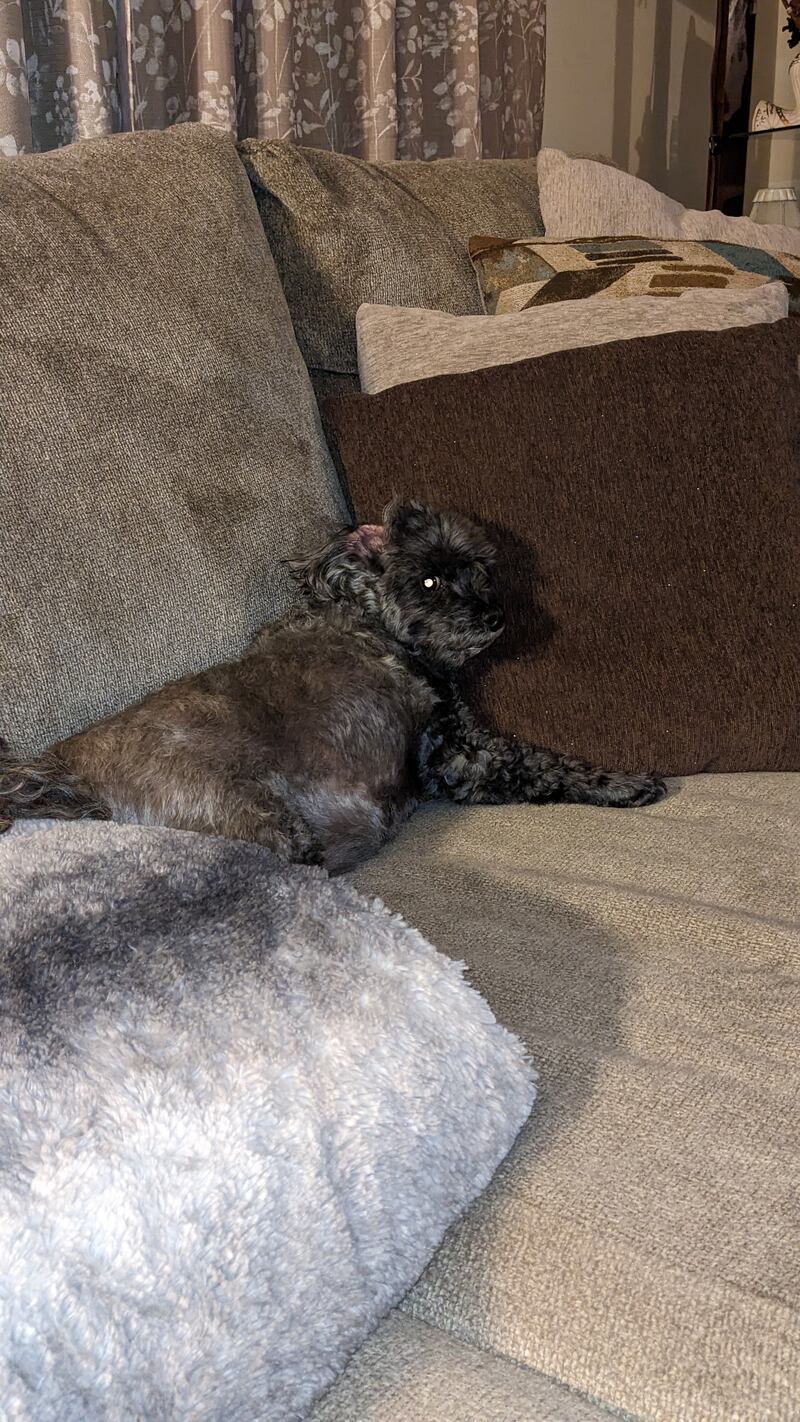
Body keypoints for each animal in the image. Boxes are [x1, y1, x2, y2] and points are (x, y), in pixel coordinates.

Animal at [0, 500, 665, 872]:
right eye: (428, 581)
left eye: (476, 568)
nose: (495, 616)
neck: (367, 622)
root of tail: (59, 769)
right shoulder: (454, 758)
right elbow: (545, 764)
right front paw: (625, 784)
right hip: (258, 819)